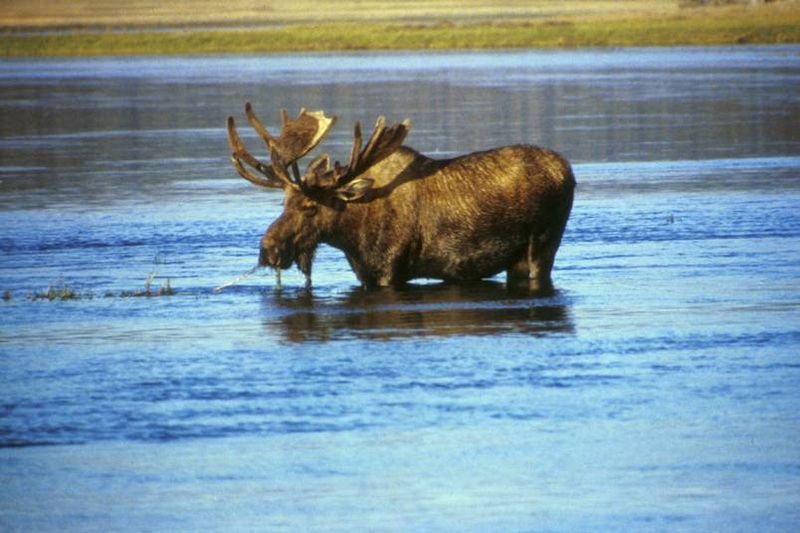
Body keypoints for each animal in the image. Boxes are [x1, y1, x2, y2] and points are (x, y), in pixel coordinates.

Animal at [227, 102, 576, 288]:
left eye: (310, 206)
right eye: (283, 202)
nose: (268, 250)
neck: (350, 236)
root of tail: (567, 170)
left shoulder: (389, 269)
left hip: (542, 244)